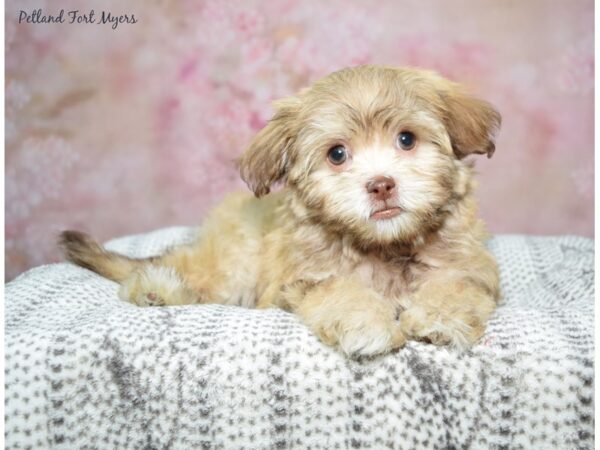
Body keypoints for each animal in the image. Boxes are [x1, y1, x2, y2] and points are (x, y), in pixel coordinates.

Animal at [61, 65, 502, 356]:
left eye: (407, 139)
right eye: (337, 154)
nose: (381, 185)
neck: (383, 245)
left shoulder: (468, 266)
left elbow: (454, 285)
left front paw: (439, 317)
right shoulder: (305, 280)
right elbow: (341, 292)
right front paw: (368, 324)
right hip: (235, 262)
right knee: (191, 273)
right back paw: (157, 289)